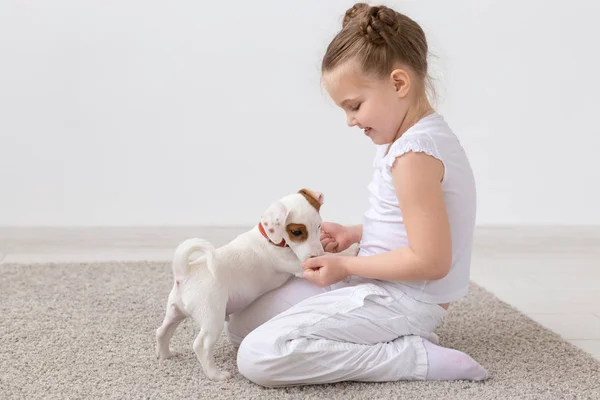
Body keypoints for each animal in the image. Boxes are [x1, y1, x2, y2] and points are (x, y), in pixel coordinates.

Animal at [156, 188, 342, 382]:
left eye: (319, 226)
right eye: (297, 232)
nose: (316, 256)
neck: (270, 239)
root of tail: (184, 273)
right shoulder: (296, 266)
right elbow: (333, 257)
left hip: (175, 312)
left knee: (162, 331)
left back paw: (166, 354)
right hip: (212, 318)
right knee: (201, 345)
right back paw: (216, 374)